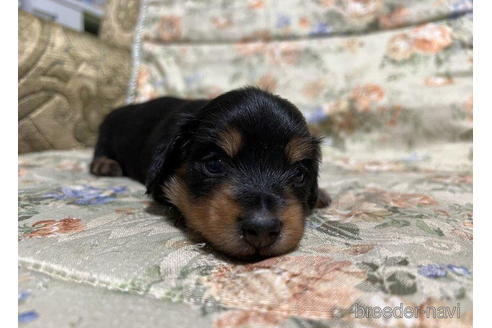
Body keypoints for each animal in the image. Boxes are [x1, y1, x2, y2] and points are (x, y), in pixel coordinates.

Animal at [92, 86, 330, 258]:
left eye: (298, 173)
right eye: (215, 164)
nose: (261, 230)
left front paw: (320, 195)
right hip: (107, 131)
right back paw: (105, 165)